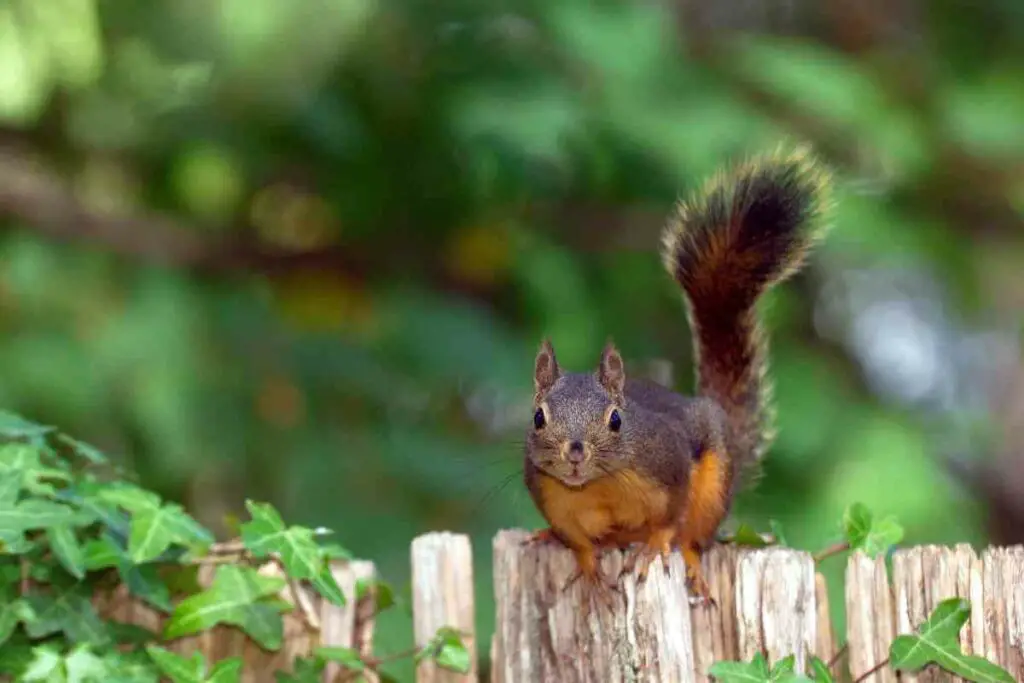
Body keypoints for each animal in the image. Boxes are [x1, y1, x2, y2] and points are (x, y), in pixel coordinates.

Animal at [520, 147, 831, 606]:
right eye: (538, 417)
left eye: (616, 419)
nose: (574, 452)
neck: (597, 487)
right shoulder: (554, 502)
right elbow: (577, 542)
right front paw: (589, 567)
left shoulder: (670, 468)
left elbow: (669, 521)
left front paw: (653, 547)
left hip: (715, 487)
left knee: (695, 535)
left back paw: (688, 561)